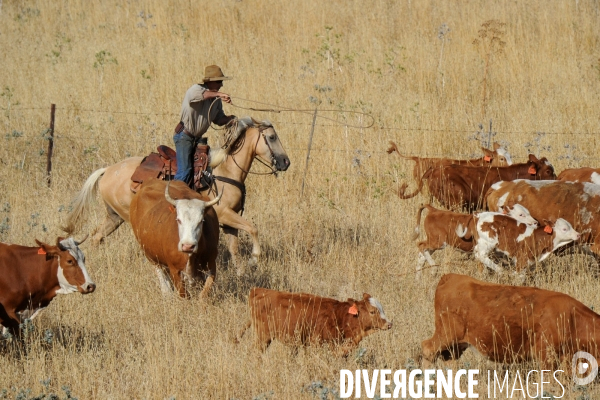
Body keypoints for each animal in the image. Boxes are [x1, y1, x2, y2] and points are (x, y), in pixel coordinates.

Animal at [64, 119, 290, 276]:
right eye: (271, 137)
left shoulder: (230, 222)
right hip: (128, 217)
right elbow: (253, 228)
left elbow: (234, 248)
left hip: (114, 216)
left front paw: (241, 272)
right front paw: (254, 259)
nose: (285, 162)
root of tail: (108, 170)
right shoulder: (225, 214)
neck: (224, 171)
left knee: (97, 236)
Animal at [237, 288, 396, 356]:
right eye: (372, 311)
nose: (389, 324)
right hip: (263, 337)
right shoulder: (317, 344)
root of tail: (259, 290)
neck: (340, 316)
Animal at [412, 203, 540, 278]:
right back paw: (433, 269)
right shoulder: (480, 251)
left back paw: (419, 278)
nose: (535, 223)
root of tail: (434, 210)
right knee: (421, 245)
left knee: (422, 255)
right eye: (521, 214)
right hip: (438, 242)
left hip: (434, 243)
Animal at [422, 274, 600, 368]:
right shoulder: (546, 356)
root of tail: (450, 277)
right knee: (428, 348)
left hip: (456, 345)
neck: (572, 318)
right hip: (446, 335)